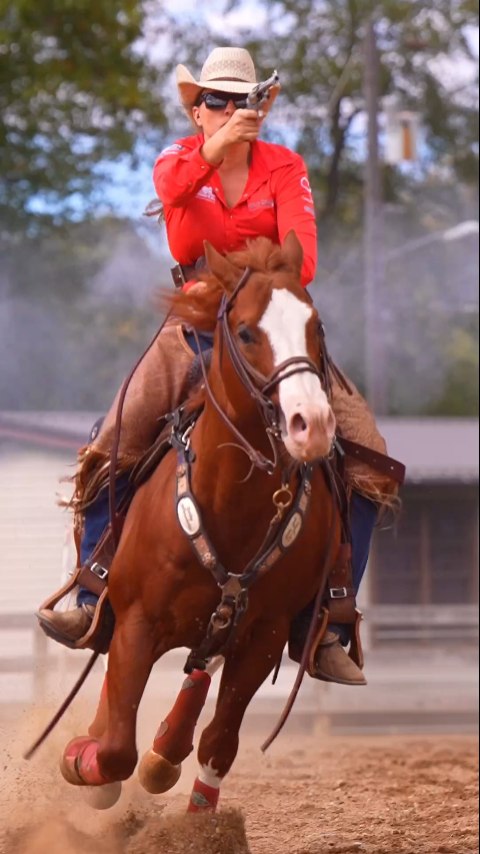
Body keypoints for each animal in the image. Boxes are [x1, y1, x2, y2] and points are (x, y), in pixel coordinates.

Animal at [59, 231, 340, 813]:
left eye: (317, 327)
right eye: (247, 331)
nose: (313, 423)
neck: (232, 502)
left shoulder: (264, 634)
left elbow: (219, 743)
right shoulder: (137, 621)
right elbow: (115, 746)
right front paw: (81, 758)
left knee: (200, 671)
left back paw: (166, 749)